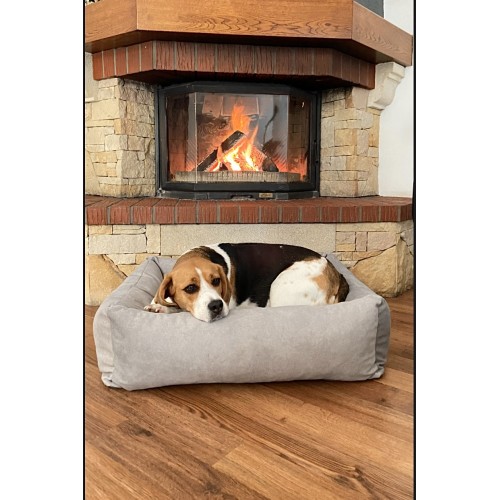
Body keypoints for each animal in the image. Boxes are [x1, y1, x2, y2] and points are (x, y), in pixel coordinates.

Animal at [144, 243, 349, 323]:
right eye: (191, 288)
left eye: (216, 280)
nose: (217, 306)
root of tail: (335, 272)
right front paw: (160, 307)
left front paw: (163, 308)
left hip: (279, 287)